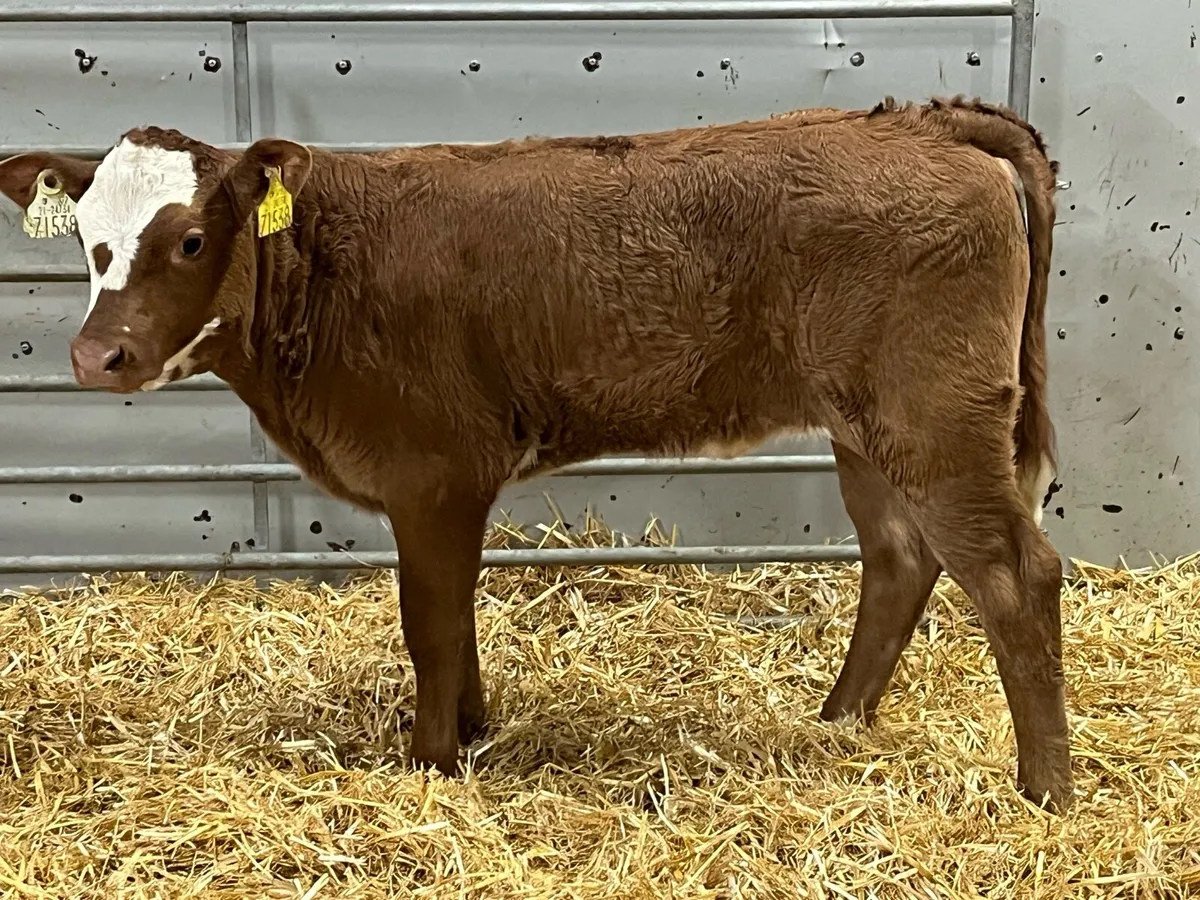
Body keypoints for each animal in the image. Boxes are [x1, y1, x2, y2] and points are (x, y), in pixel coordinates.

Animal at [0, 95, 1073, 811]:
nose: (96, 356)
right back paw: (837, 721)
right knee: (899, 558)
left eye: (188, 239)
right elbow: (456, 618)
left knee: (1015, 574)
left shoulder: (432, 473)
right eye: (87, 238)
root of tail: (920, 122)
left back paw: (1045, 792)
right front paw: (471, 732)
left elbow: (431, 626)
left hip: (936, 415)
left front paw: (429, 761)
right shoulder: (450, 488)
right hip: (865, 427)